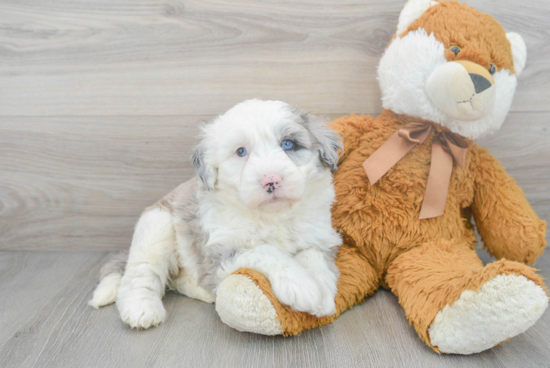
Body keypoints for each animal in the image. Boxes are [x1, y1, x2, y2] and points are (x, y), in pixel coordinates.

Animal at [90, 99, 344, 330]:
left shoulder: (320, 236)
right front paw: (303, 286)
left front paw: (322, 294)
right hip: (156, 227)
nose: (271, 180)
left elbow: (314, 256)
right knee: (140, 275)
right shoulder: (219, 250)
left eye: (288, 144)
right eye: (241, 151)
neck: (271, 216)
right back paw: (142, 309)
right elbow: (265, 250)